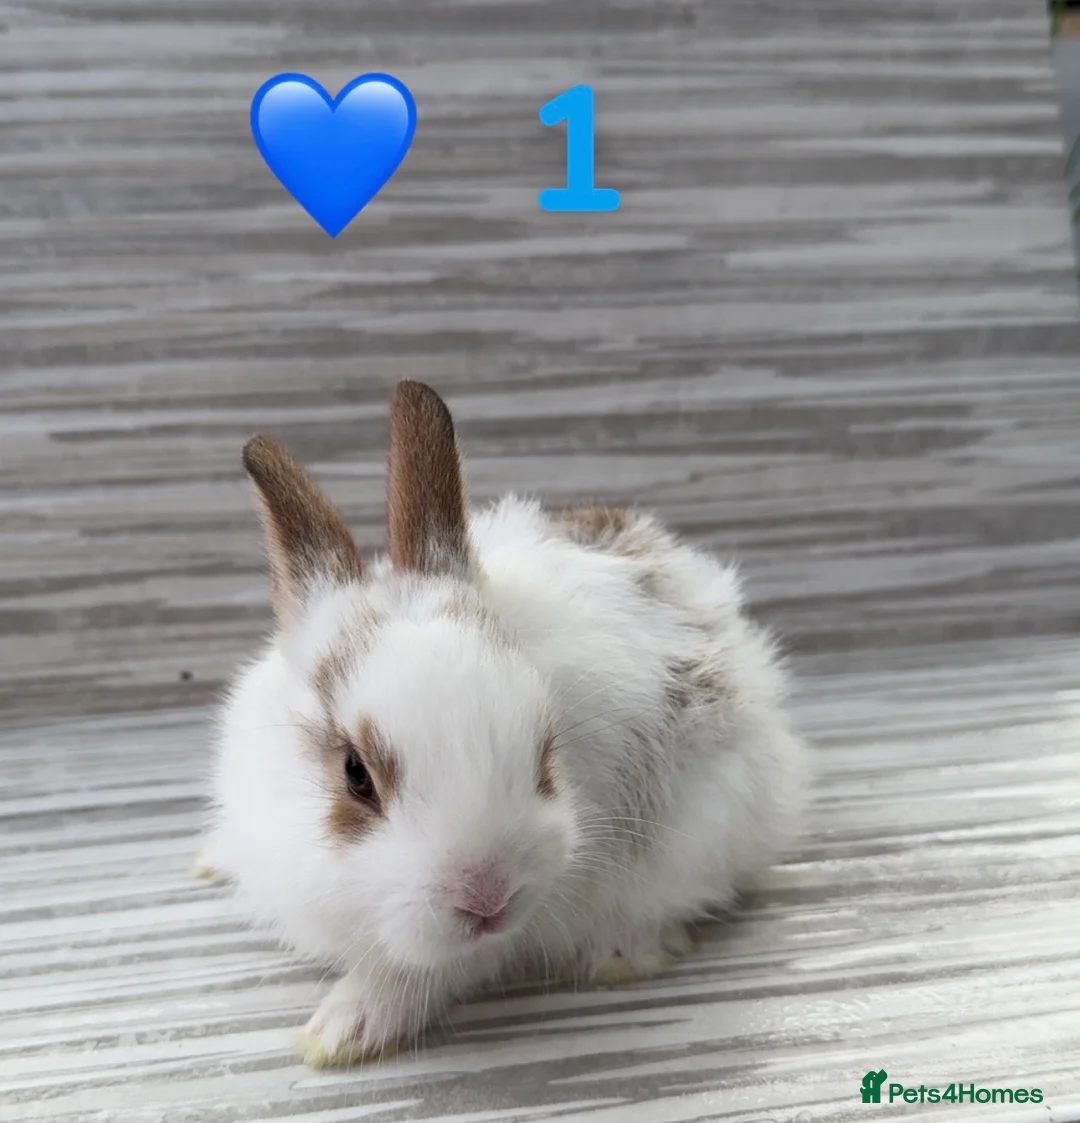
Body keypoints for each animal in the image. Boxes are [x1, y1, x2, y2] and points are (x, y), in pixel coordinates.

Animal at [199, 379, 808, 1069]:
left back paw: (622, 956)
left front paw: (341, 1029)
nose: (488, 898)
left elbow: (426, 972)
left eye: (544, 752)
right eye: (356, 774)